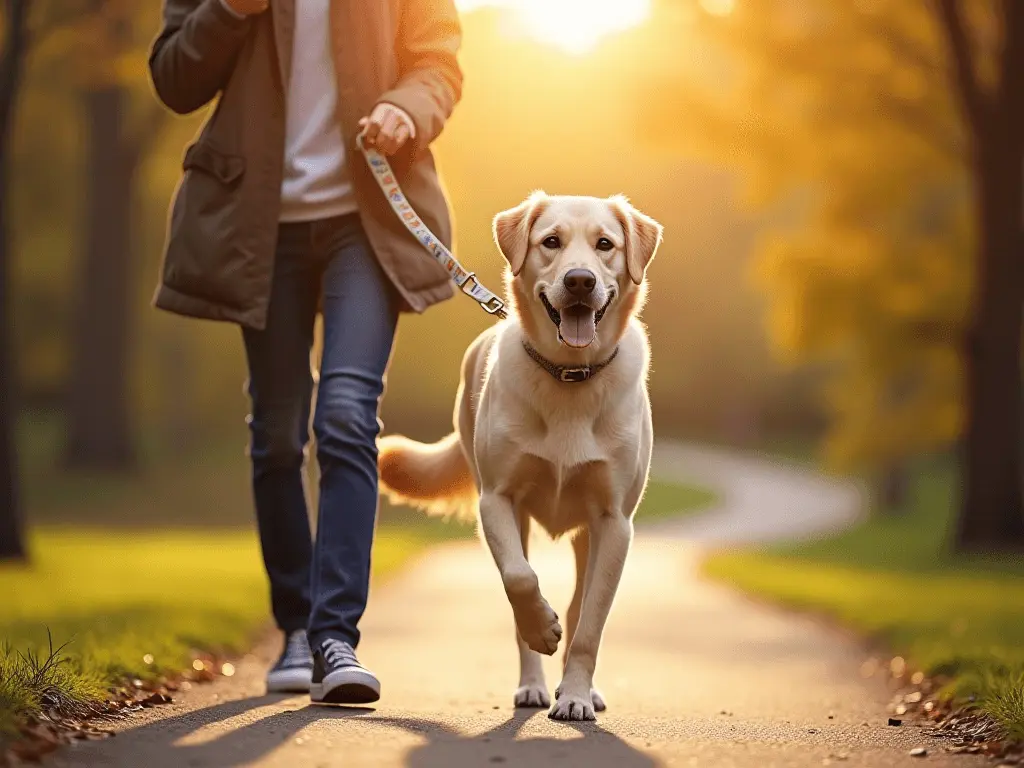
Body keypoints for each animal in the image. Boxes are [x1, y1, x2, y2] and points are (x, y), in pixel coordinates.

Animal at [378, 191, 663, 720]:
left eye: (605, 244)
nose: (579, 280)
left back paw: (577, 687)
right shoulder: (497, 499)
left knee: (579, 605)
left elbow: (590, 623)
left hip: (589, 536)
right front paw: (541, 630)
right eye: (550, 241)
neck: (570, 375)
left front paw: (575, 697)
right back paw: (532, 683)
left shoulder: (615, 521)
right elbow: (519, 578)